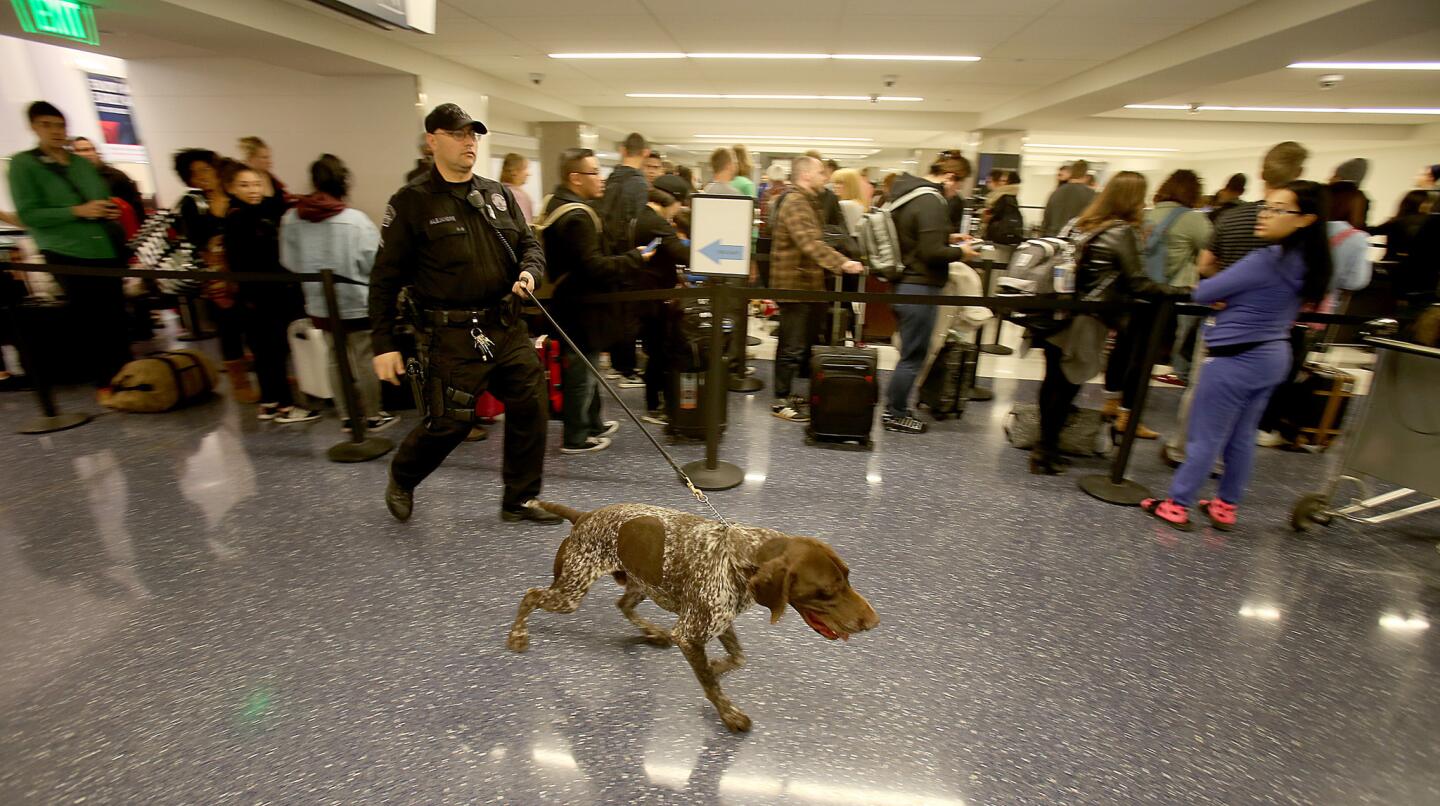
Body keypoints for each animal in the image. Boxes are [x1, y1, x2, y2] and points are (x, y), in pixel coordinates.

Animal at [504, 500, 875, 734]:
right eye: (825, 591)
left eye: (848, 575)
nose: (874, 622)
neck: (741, 555)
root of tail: (584, 515)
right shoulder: (691, 632)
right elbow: (712, 685)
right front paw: (728, 713)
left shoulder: (718, 621)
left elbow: (736, 659)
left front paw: (716, 666)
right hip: (572, 592)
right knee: (531, 595)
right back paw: (517, 635)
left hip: (641, 583)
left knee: (623, 605)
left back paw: (654, 633)